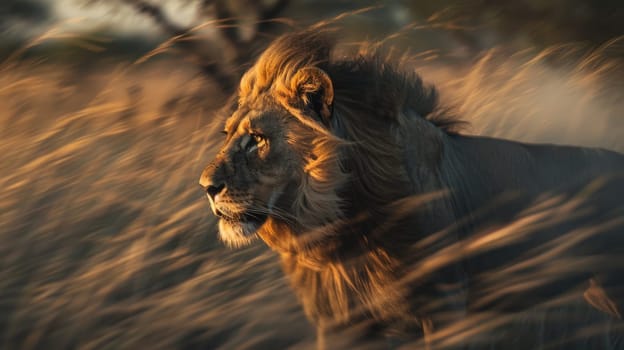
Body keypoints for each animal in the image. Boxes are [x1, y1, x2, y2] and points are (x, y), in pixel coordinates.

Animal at [199, 30, 624, 350]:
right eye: (227, 134)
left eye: (256, 139)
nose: (206, 186)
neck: (343, 227)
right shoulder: (339, 323)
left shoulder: (444, 309)